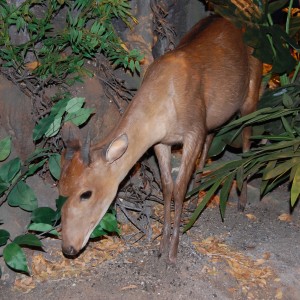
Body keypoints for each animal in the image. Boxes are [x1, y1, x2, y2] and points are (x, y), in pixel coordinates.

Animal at [59, 15, 262, 262]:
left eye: (86, 193)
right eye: (59, 190)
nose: (68, 248)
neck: (165, 101)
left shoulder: (193, 131)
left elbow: (180, 187)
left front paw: (173, 251)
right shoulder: (162, 142)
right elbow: (167, 186)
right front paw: (161, 246)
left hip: (251, 97)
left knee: (247, 140)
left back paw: (242, 201)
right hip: (215, 118)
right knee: (211, 143)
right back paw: (197, 201)